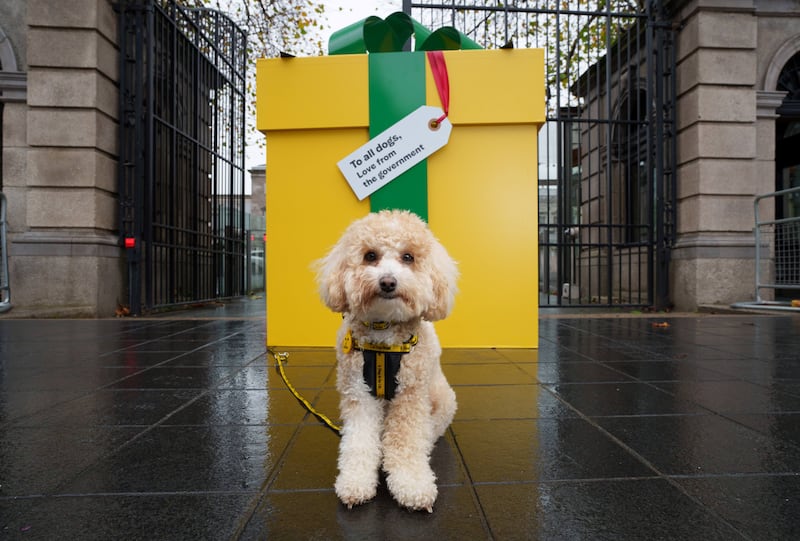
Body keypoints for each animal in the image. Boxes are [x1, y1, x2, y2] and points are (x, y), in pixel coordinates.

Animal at [316, 209, 460, 512]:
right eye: (370, 255)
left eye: (408, 257)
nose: (388, 282)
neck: (384, 335)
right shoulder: (358, 394)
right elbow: (358, 441)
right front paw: (355, 481)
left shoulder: (410, 396)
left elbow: (406, 442)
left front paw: (412, 485)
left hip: (443, 400)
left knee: (427, 432)